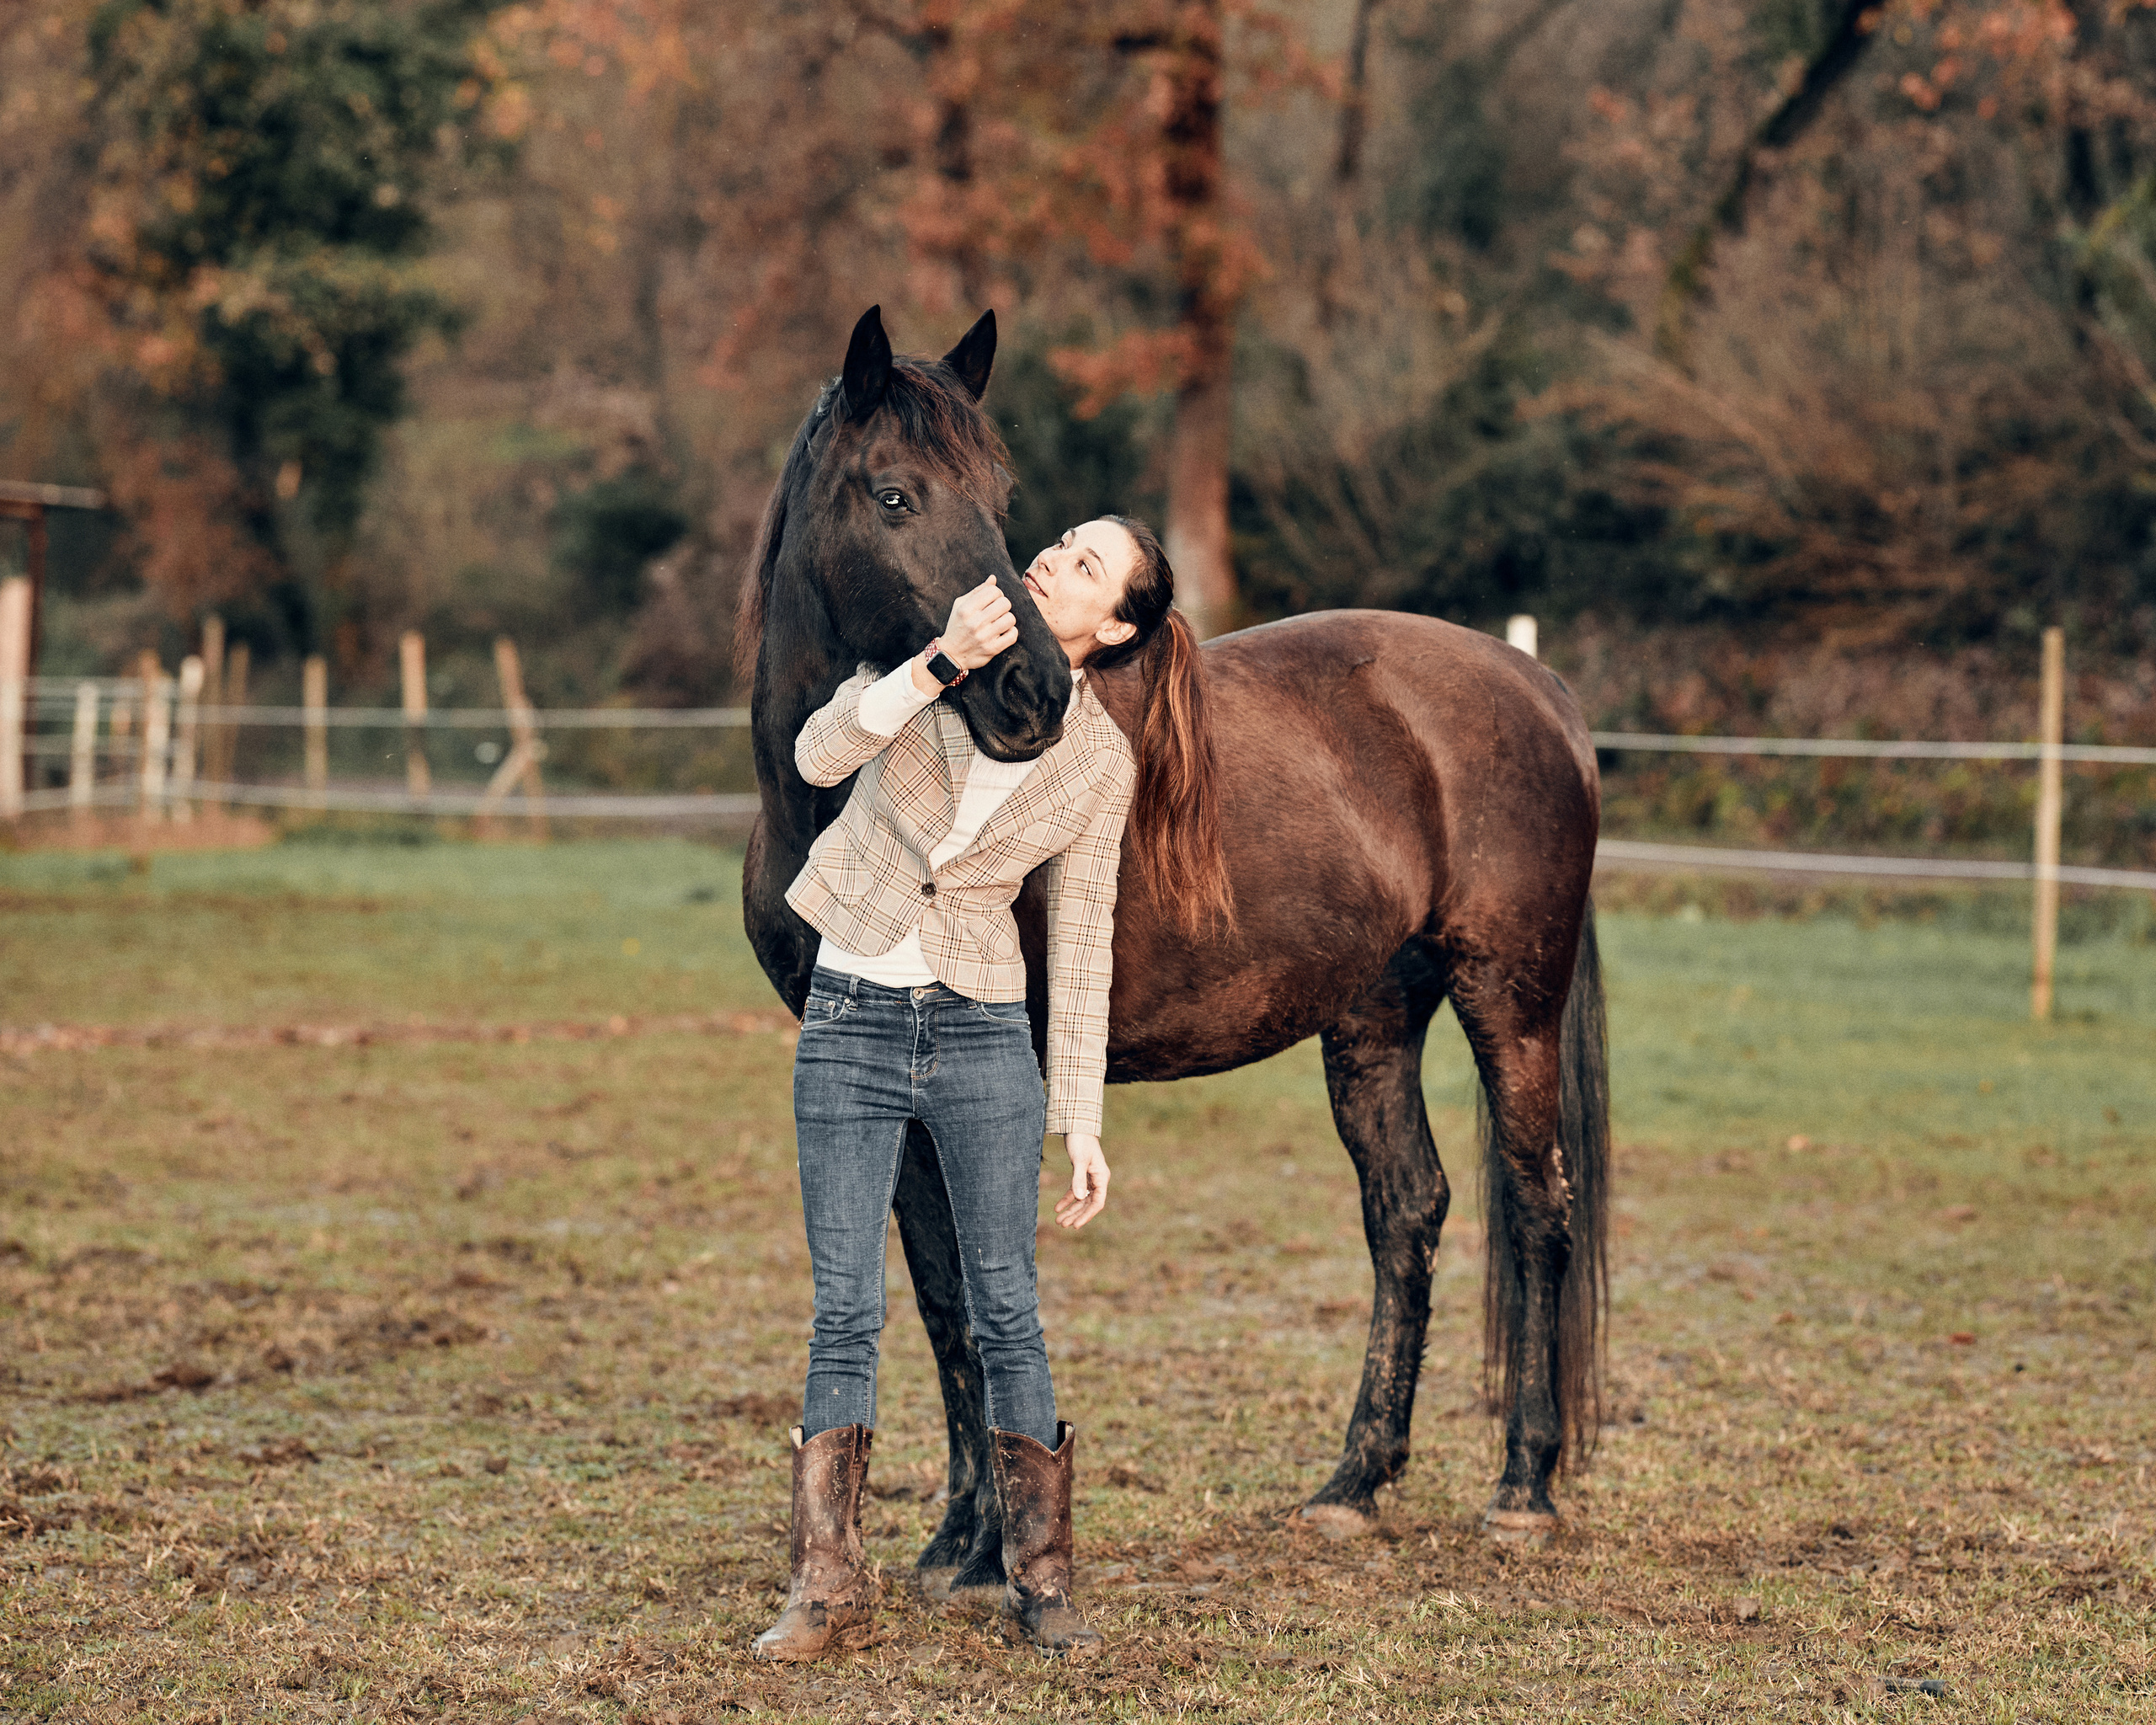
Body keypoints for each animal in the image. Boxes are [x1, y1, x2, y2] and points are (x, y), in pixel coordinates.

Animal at [740, 306, 1609, 1583]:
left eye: (1001, 498)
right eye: (894, 495)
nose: (1031, 692)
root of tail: (1538, 686)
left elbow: (983, 1293)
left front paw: (991, 1542)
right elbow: (943, 1292)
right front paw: (957, 1538)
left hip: (1512, 999)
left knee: (1536, 1204)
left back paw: (1524, 1487)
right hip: (1373, 1016)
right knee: (1407, 1210)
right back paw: (1354, 1483)